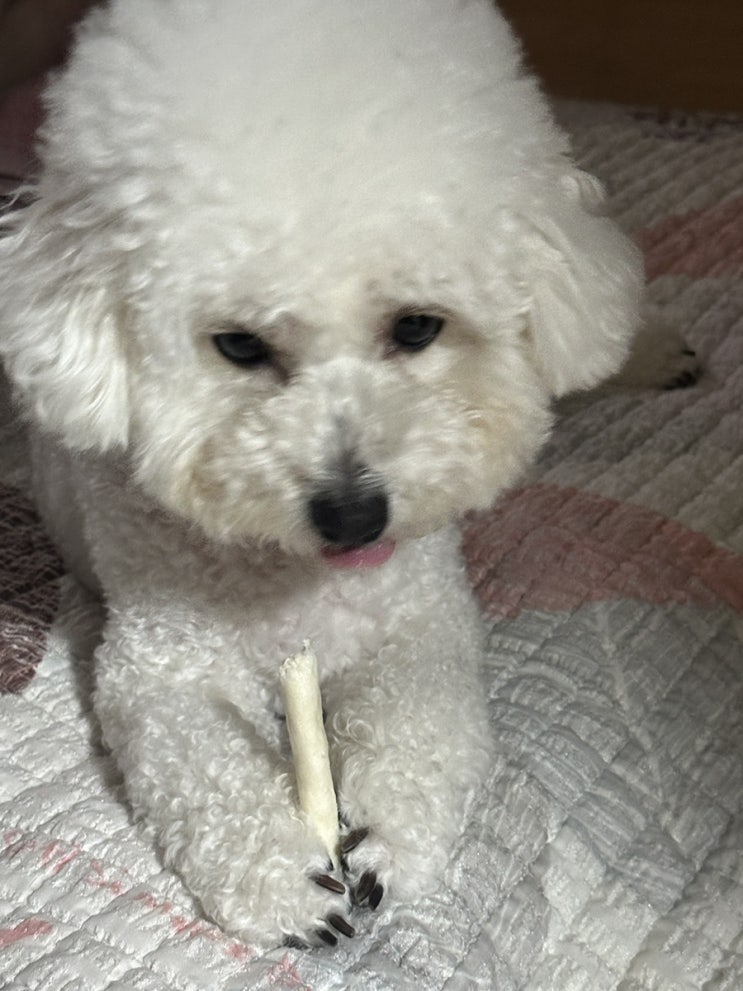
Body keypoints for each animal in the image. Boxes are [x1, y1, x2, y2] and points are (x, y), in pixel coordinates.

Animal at [0, 0, 692, 949]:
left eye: (417, 326)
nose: (353, 516)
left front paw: (388, 839)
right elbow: (204, 763)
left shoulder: (424, 622)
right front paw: (283, 879)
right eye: (238, 344)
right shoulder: (161, 665)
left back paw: (651, 349)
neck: (298, 578)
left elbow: (419, 726)